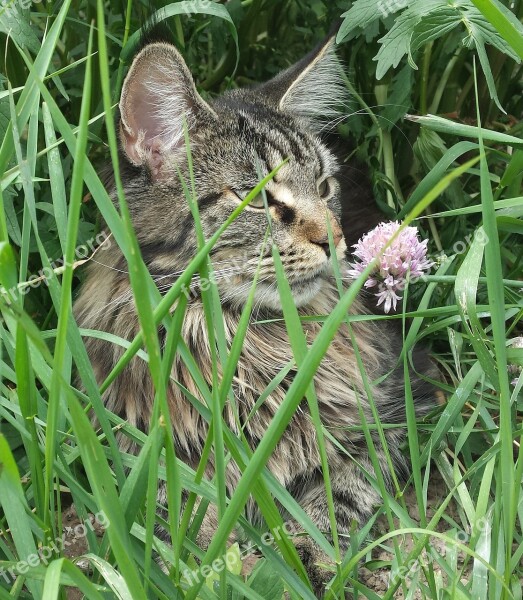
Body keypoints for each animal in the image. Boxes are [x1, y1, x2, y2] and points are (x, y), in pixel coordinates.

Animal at [74, 36, 438, 596]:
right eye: (257, 199)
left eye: (325, 186)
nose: (334, 238)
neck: (247, 344)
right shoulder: (133, 452)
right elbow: (185, 517)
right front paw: (213, 567)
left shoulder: (394, 415)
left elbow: (333, 501)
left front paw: (301, 563)